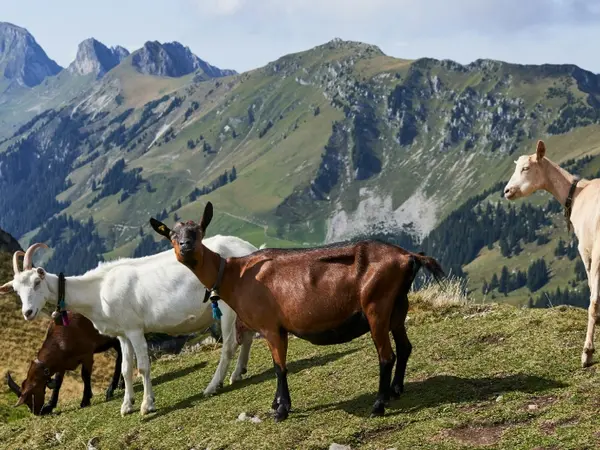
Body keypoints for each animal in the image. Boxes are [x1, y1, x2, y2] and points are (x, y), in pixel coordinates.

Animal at [0, 237, 258, 416]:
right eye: (16, 289)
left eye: (37, 282)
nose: (28, 313)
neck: (98, 290)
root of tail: (247, 248)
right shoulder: (122, 334)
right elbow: (125, 369)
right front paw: (126, 406)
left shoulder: (135, 329)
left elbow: (142, 367)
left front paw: (147, 405)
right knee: (248, 335)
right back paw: (237, 374)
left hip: (226, 307)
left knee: (230, 345)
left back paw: (213, 385)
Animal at [150, 202, 446, 420]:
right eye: (172, 235)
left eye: (199, 231)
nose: (186, 247)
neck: (236, 274)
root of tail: (407, 256)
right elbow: (277, 366)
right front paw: (276, 403)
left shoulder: (271, 327)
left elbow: (280, 367)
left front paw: (281, 410)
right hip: (398, 306)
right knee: (405, 347)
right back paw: (396, 390)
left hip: (377, 308)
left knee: (387, 356)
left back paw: (378, 405)